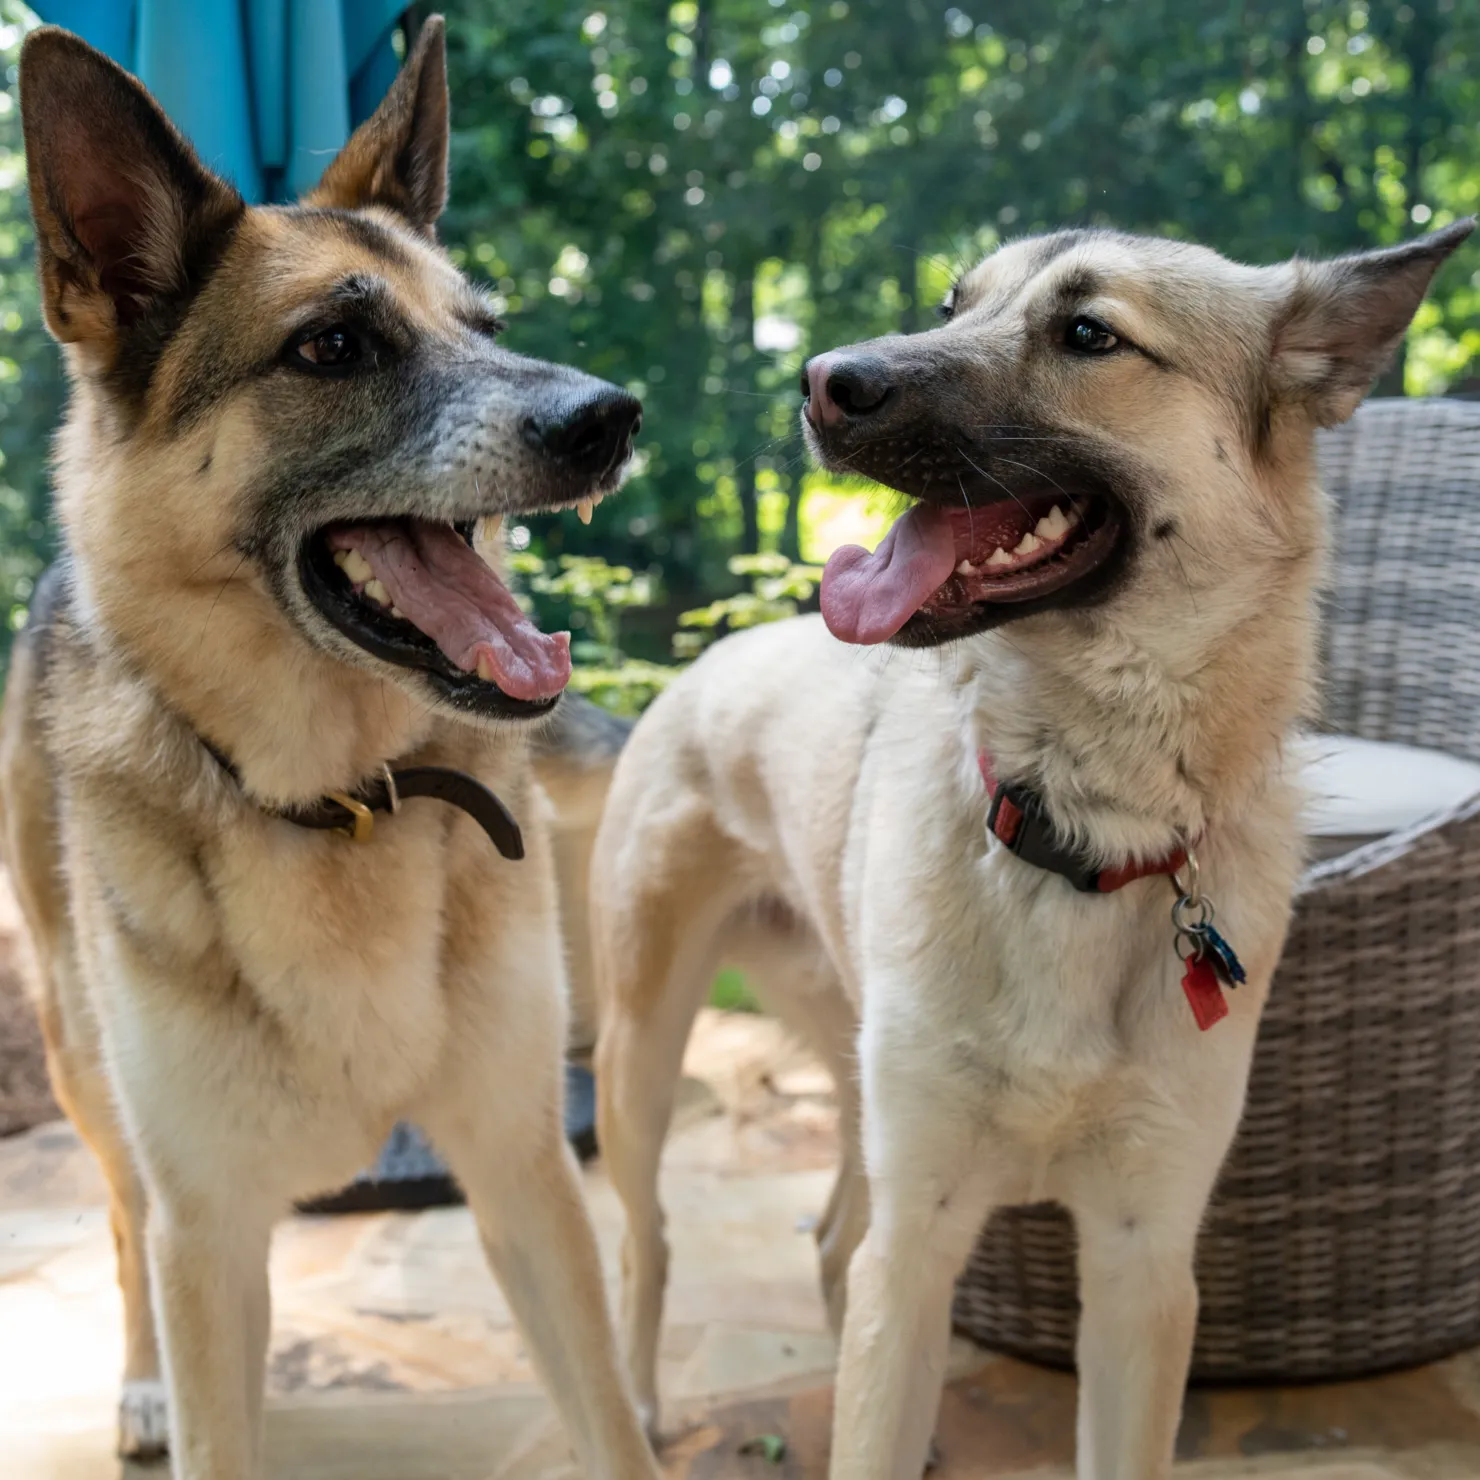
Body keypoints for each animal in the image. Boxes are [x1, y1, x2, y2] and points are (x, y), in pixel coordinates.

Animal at [0, 23, 660, 1480]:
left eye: (489, 327)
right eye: (336, 344)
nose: (612, 416)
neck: (341, 798)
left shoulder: (525, 1177)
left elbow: (608, 1416)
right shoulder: (206, 1233)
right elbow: (190, 1338)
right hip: (85, 1075)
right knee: (121, 1225)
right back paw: (137, 1382)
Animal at [589, 222, 1468, 1480]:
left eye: (1088, 333)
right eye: (951, 306)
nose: (819, 378)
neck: (1077, 832)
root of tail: (709, 659)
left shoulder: (1143, 1263)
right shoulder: (920, 1236)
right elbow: (868, 1384)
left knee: (828, 1237)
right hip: (641, 1057)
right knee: (649, 1240)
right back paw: (644, 1407)